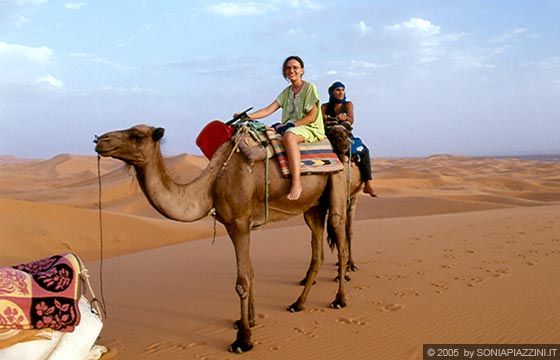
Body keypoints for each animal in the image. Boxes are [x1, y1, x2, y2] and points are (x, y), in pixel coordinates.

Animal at [96, 124, 350, 352]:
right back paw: (298, 304)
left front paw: (243, 340)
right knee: (317, 252)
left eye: (137, 135)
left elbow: (242, 281)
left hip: (337, 187)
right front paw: (249, 321)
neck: (212, 184)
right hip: (313, 207)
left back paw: (339, 300)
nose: (101, 139)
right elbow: (250, 272)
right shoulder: (235, 226)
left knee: (341, 243)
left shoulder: (239, 223)